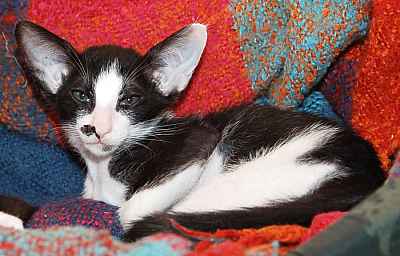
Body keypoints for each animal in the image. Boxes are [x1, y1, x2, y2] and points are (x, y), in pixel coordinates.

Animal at [0, 21, 388, 241]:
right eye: (82, 95)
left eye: (129, 99)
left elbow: (129, 210)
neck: (105, 167)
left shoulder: (198, 142)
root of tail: (368, 179)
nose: (97, 128)